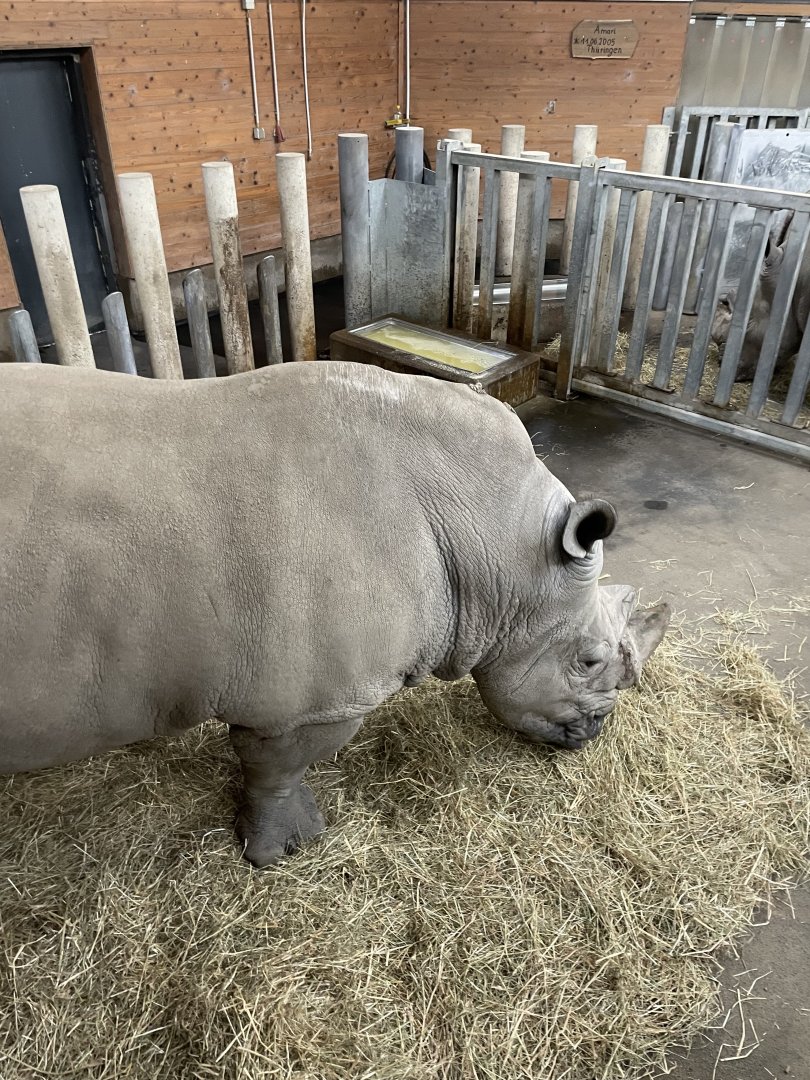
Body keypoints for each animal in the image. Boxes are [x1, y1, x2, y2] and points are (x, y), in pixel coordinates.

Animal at [0, 361, 669, 868]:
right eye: (590, 661)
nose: (594, 733)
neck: (503, 547)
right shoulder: (317, 700)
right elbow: (277, 767)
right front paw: (285, 849)